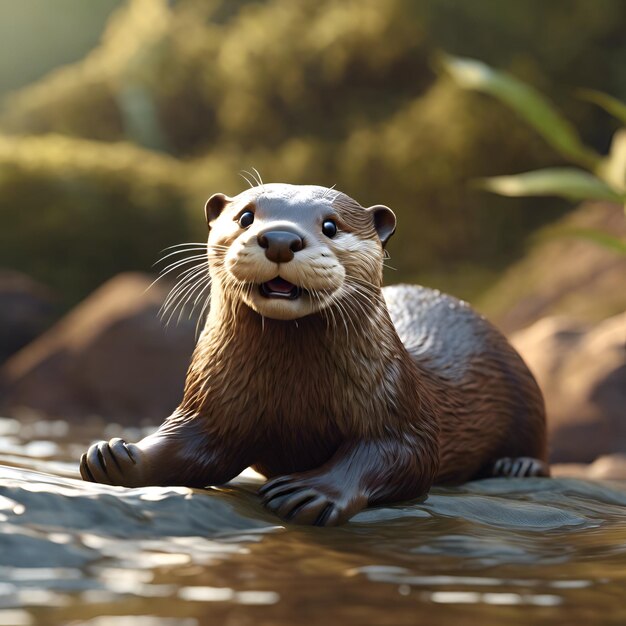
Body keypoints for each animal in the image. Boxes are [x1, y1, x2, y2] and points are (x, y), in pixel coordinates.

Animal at [79, 183, 544, 524]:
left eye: (331, 226)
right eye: (245, 216)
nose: (281, 238)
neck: (294, 395)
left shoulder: (398, 402)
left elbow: (401, 453)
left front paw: (314, 490)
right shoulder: (214, 400)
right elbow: (188, 443)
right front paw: (120, 456)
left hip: (525, 387)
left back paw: (516, 467)